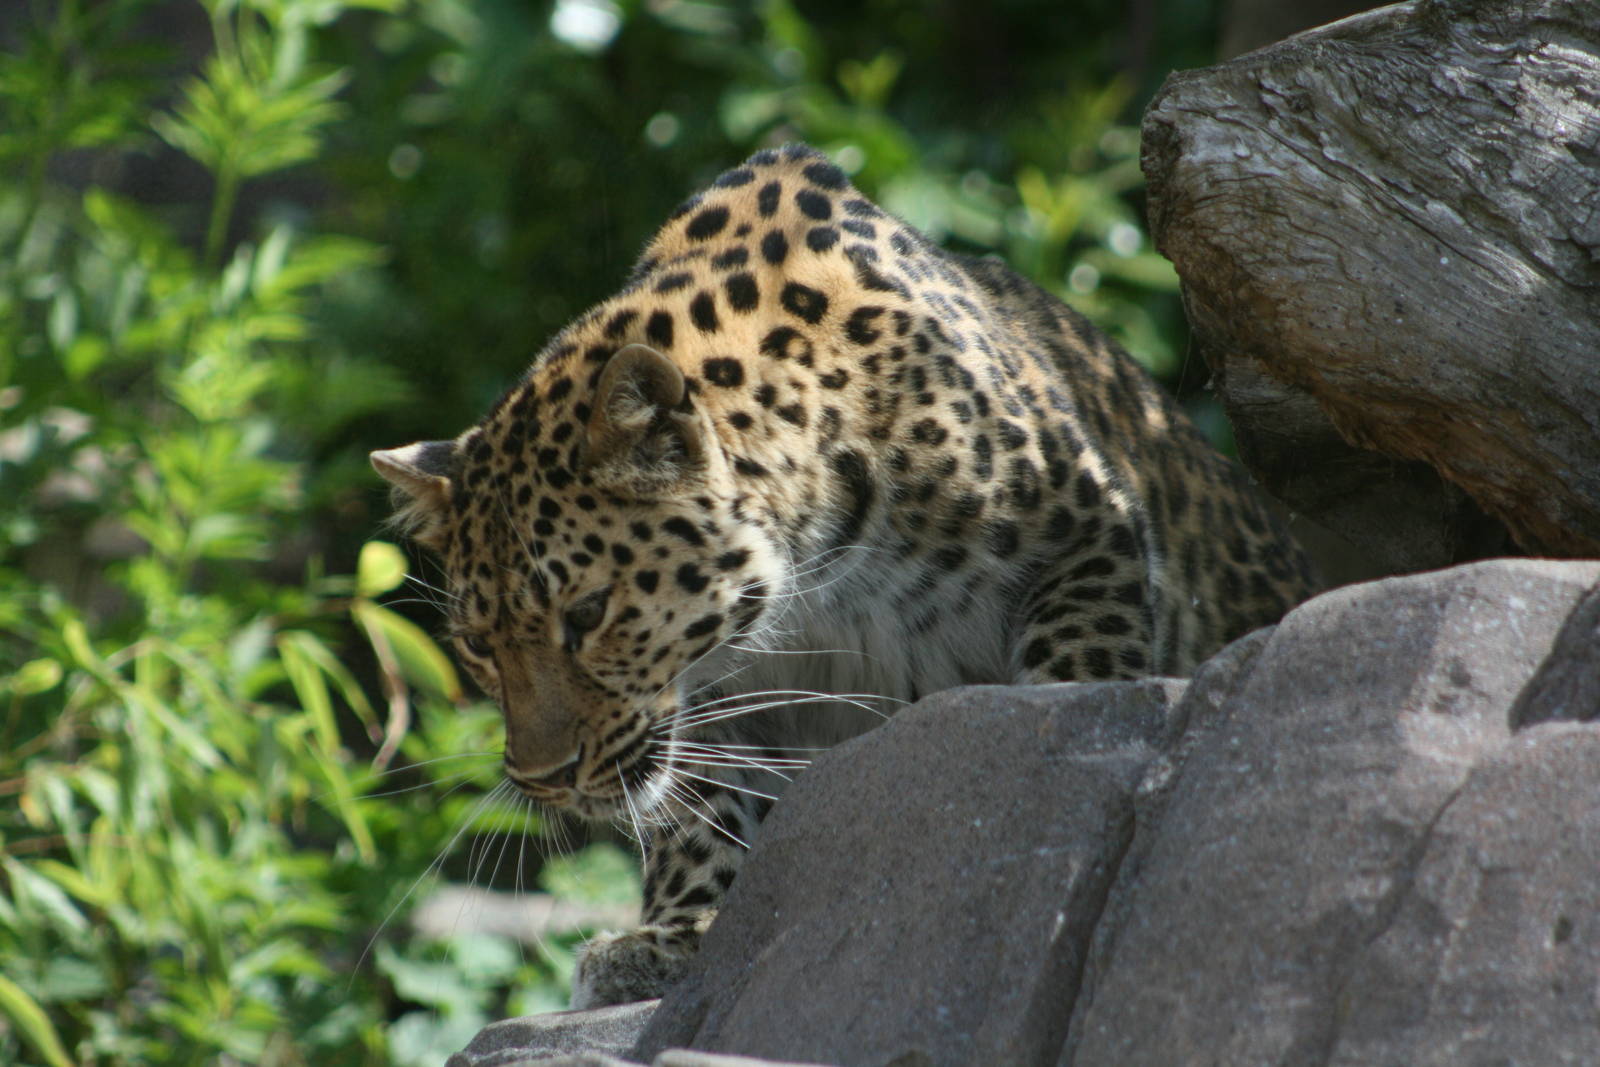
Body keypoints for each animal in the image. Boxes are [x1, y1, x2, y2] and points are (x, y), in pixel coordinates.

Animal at [371, 143, 1319, 1009]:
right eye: (477, 645)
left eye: (589, 611)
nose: (543, 779)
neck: (816, 579)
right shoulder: (715, 695)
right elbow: (701, 810)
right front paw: (674, 933)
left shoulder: (1090, 529)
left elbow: (1075, 674)